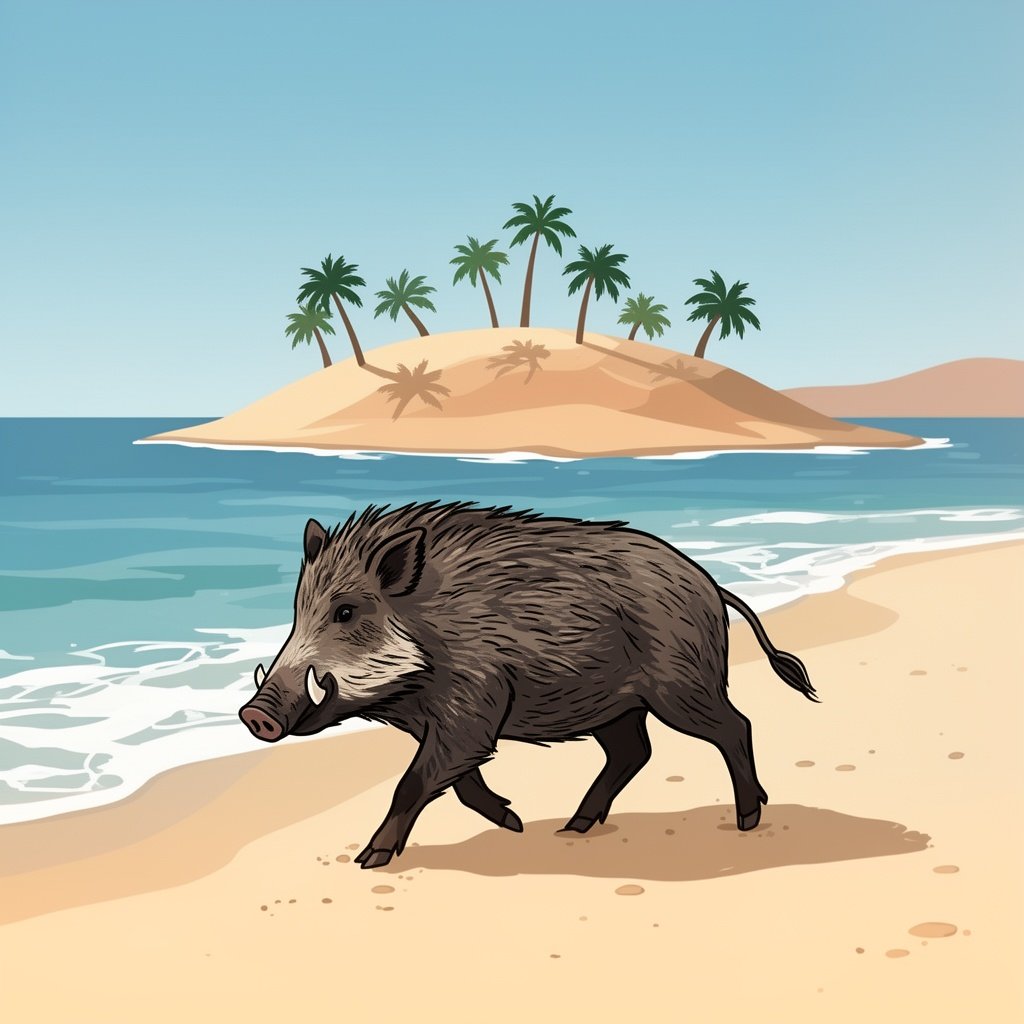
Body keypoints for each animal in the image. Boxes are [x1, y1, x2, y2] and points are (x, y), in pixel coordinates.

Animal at [239, 501, 816, 869]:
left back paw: (748, 819)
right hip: (615, 706)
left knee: (734, 726)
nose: (254, 714)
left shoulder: (471, 708)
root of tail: (711, 585)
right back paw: (574, 827)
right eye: (297, 611)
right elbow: (460, 782)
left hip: (683, 687)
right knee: (634, 752)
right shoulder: (446, 724)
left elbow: (415, 782)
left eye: (345, 611)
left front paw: (369, 859)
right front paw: (512, 822)